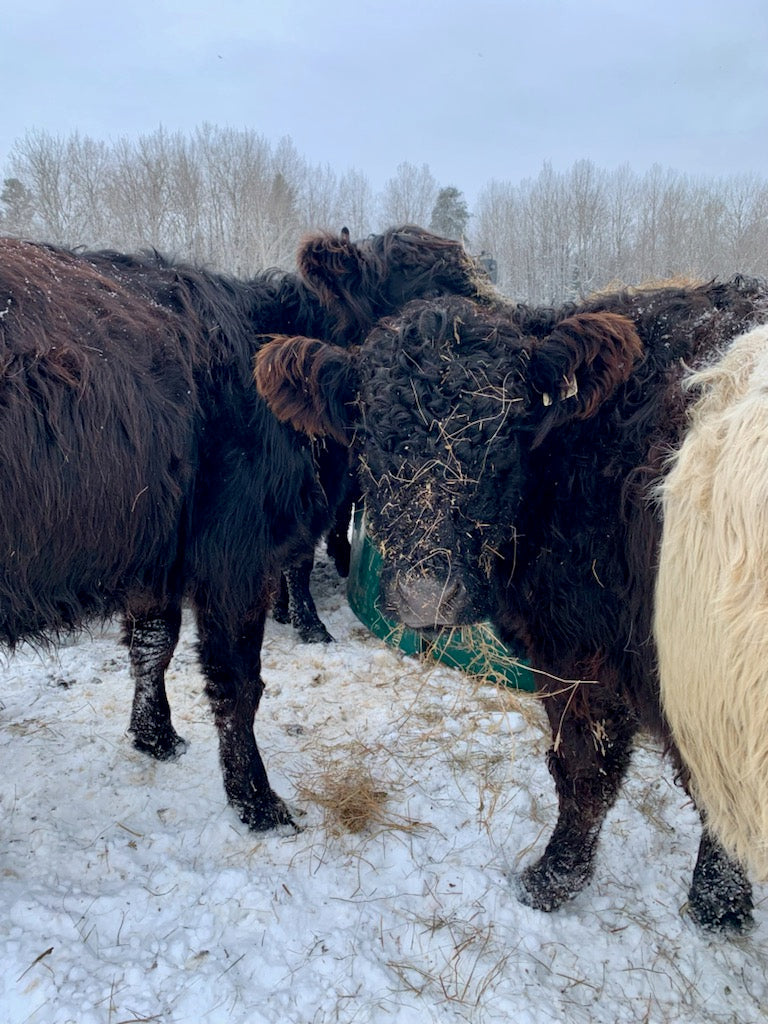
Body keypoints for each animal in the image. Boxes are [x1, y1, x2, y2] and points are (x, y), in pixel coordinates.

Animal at [0, 224, 493, 831]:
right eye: (423, 306)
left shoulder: (157, 557)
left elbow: (152, 645)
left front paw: (156, 738)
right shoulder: (236, 559)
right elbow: (238, 682)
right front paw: (256, 800)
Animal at [256, 278, 768, 929]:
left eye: (503, 443)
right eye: (366, 441)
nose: (425, 596)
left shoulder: (584, 660)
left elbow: (586, 772)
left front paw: (554, 880)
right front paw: (720, 901)